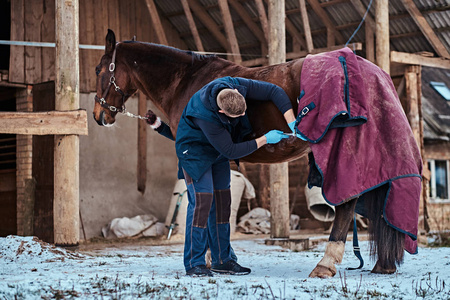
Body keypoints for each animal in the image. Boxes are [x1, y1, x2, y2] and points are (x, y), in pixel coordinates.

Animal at [93, 29, 406, 278]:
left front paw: (207, 261)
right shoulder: (219, 160)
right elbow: (218, 207)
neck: (188, 81)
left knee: (346, 204)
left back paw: (325, 265)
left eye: (98, 70)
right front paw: (222, 261)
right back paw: (383, 265)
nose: (99, 115)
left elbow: (204, 206)